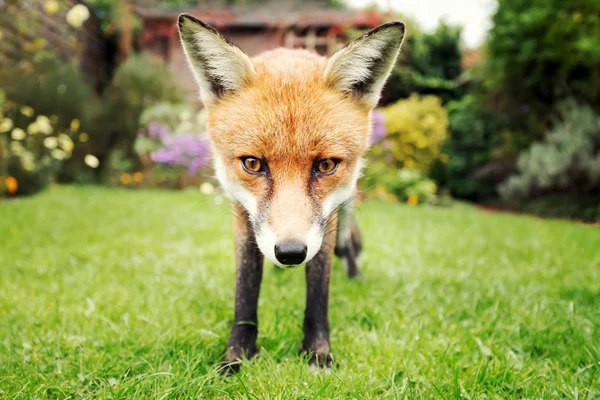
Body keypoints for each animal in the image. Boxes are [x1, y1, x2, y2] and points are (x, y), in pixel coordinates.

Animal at [177, 15, 404, 372]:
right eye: (252, 163)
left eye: (326, 165)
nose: (291, 253)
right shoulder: (242, 214)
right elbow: (245, 291)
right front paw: (237, 355)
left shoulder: (325, 223)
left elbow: (318, 290)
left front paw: (318, 353)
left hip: (347, 204)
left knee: (347, 245)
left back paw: (354, 276)